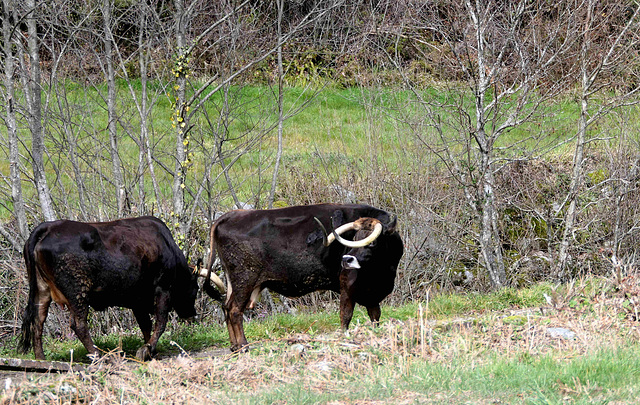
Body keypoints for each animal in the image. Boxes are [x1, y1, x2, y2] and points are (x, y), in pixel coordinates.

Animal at [18, 216, 199, 362]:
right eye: (196, 288)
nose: (192, 314)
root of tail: (49, 227)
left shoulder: (137, 300)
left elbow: (145, 325)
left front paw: (149, 351)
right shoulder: (163, 288)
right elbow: (160, 323)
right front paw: (147, 349)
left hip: (42, 290)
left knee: (38, 321)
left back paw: (40, 358)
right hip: (78, 291)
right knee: (78, 324)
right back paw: (99, 356)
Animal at [204, 204, 404, 348]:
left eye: (373, 242)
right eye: (354, 238)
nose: (346, 260)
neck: (382, 273)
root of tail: (230, 215)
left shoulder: (373, 296)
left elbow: (375, 317)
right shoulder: (347, 288)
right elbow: (345, 316)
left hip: (233, 280)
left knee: (225, 306)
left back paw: (233, 346)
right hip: (244, 279)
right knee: (234, 309)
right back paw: (242, 346)